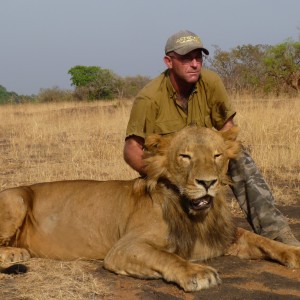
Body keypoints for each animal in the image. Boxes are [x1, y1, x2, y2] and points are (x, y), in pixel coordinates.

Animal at [0, 126, 298, 290]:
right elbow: (167, 256)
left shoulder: (225, 236)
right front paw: (198, 273)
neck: (195, 214)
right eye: (185, 156)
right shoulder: (122, 249)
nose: (207, 182)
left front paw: (294, 252)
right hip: (17, 199)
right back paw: (15, 254)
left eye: (217, 155)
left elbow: (262, 240)